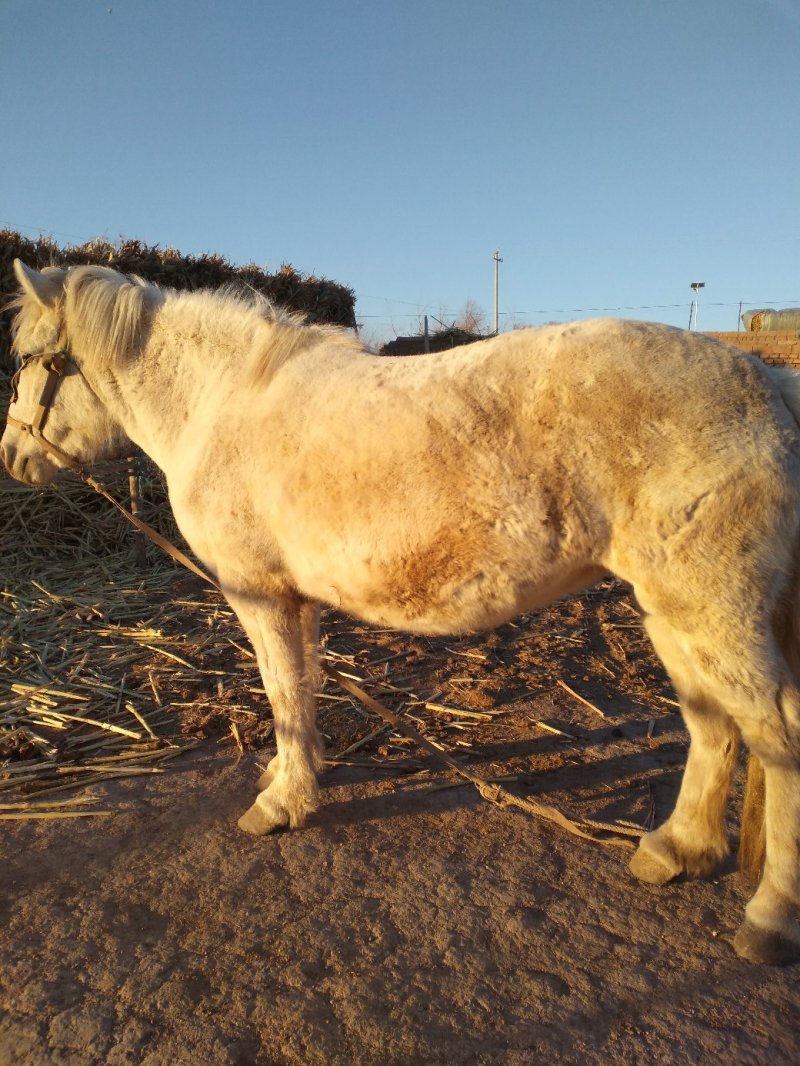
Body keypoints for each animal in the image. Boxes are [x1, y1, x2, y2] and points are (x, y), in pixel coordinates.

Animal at [3, 259, 800, 966]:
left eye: (29, 358)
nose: (13, 455)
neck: (221, 406)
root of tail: (770, 383)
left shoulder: (259, 594)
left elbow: (281, 690)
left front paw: (283, 803)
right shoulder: (295, 599)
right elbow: (302, 689)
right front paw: (291, 774)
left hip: (710, 609)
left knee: (775, 735)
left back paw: (770, 916)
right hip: (674, 616)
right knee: (712, 724)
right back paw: (677, 849)